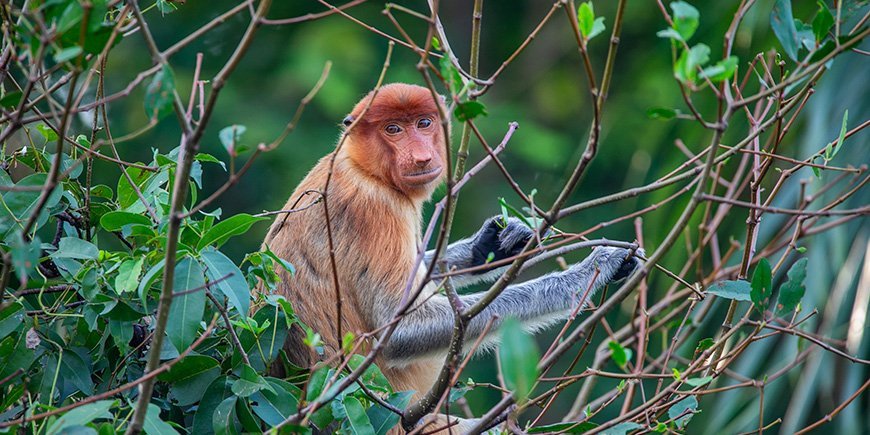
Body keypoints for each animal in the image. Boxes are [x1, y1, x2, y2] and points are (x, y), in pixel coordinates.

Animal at [262, 82, 644, 432]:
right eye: (393, 129)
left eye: (424, 123)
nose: (422, 157)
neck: (361, 167)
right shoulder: (377, 212)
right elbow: (398, 329)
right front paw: (593, 269)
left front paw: (496, 242)